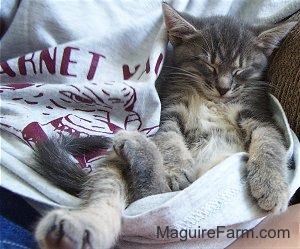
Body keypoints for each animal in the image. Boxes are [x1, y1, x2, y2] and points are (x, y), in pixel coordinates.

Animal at [32, 3, 296, 249]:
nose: (223, 87)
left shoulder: (260, 116)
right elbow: (168, 138)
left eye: (240, 69)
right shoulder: (169, 109)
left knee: (154, 202)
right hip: (115, 168)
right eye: (208, 65)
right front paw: (177, 168)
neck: (212, 100)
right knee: (144, 200)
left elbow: (270, 144)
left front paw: (272, 186)